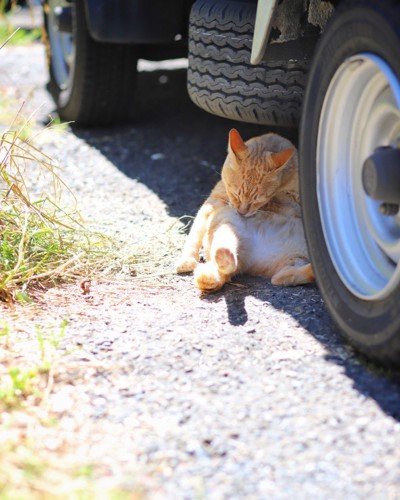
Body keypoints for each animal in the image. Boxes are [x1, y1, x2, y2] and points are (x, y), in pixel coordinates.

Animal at [177, 128, 314, 292]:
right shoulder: (214, 202)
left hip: (295, 259)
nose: (242, 212)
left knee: (283, 276)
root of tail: (250, 261)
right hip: (227, 219)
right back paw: (225, 258)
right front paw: (186, 259)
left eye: (257, 200)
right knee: (225, 253)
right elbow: (195, 233)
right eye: (235, 194)